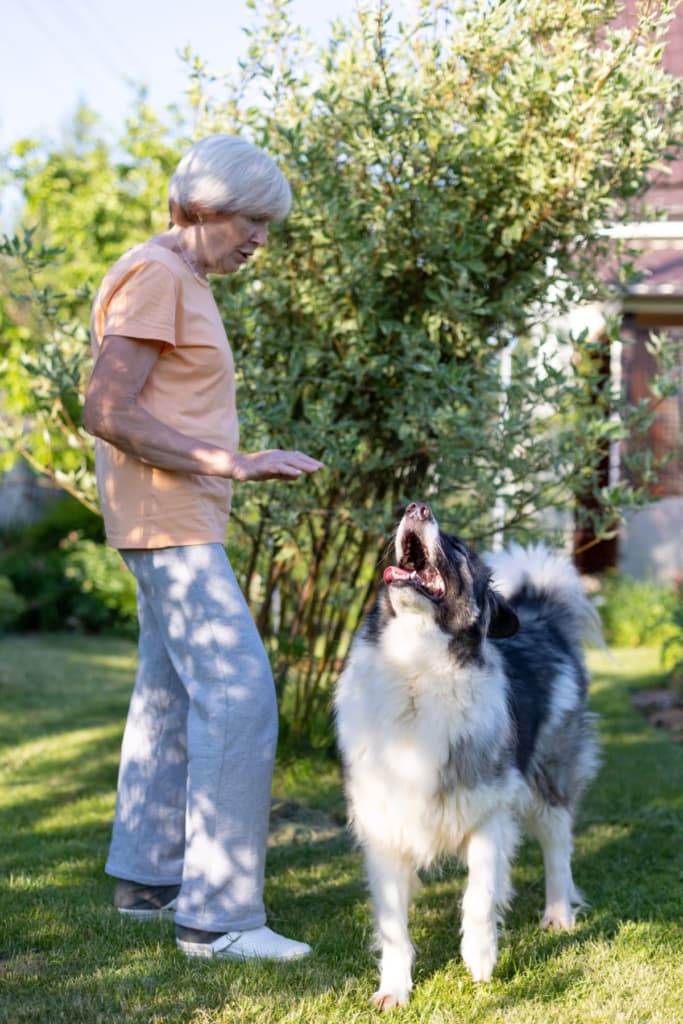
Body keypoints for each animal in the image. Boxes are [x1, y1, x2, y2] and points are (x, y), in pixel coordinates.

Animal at [335, 501, 598, 1007]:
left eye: (457, 548)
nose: (416, 507)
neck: (416, 670)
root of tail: (542, 616)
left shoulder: (489, 816)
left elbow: (478, 896)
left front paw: (480, 957)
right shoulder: (385, 831)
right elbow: (394, 927)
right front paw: (393, 988)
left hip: (547, 777)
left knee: (558, 846)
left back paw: (558, 914)